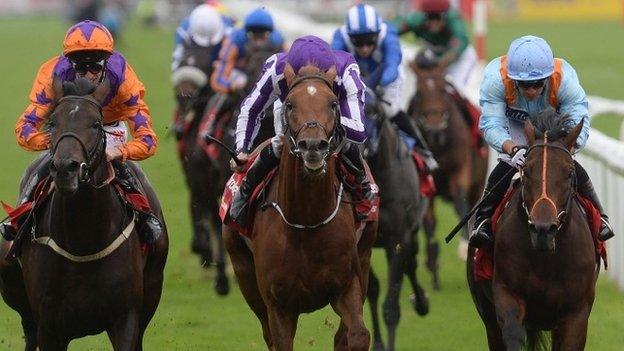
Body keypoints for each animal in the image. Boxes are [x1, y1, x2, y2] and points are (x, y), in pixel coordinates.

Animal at [0, 78, 168, 350]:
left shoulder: (126, 318)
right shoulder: (50, 326)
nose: (64, 168)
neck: (83, 241)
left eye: (96, 123)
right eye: (52, 122)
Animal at [223, 64, 376, 350]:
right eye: (290, 104)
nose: (313, 145)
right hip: (243, 272)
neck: (306, 221)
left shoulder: (347, 285)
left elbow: (358, 335)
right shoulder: (278, 305)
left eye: (333, 104)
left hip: (365, 256)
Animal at [360, 80, 428, 351]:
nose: (363, 146)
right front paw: (377, 343)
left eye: (374, 112)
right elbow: (372, 289)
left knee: (412, 263)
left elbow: (391, 307)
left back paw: (421, 302)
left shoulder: (398, 239)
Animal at [410, 58, 488, 278]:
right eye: (418, 93)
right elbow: (428, 223)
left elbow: (461, 203)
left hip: (478, 183)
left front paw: (463, 246)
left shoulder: (460, 170)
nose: (435, 129)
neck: (439, 146)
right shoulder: (427, 182)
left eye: (443, 90)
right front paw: (431, 258)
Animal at [468, 111, 600, 350]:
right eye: (526, 170)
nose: (543, 229)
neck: (546, 259)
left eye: (569, 173)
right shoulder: (507, 294)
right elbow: (512, 333)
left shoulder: (576, 313)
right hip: (487, 315)